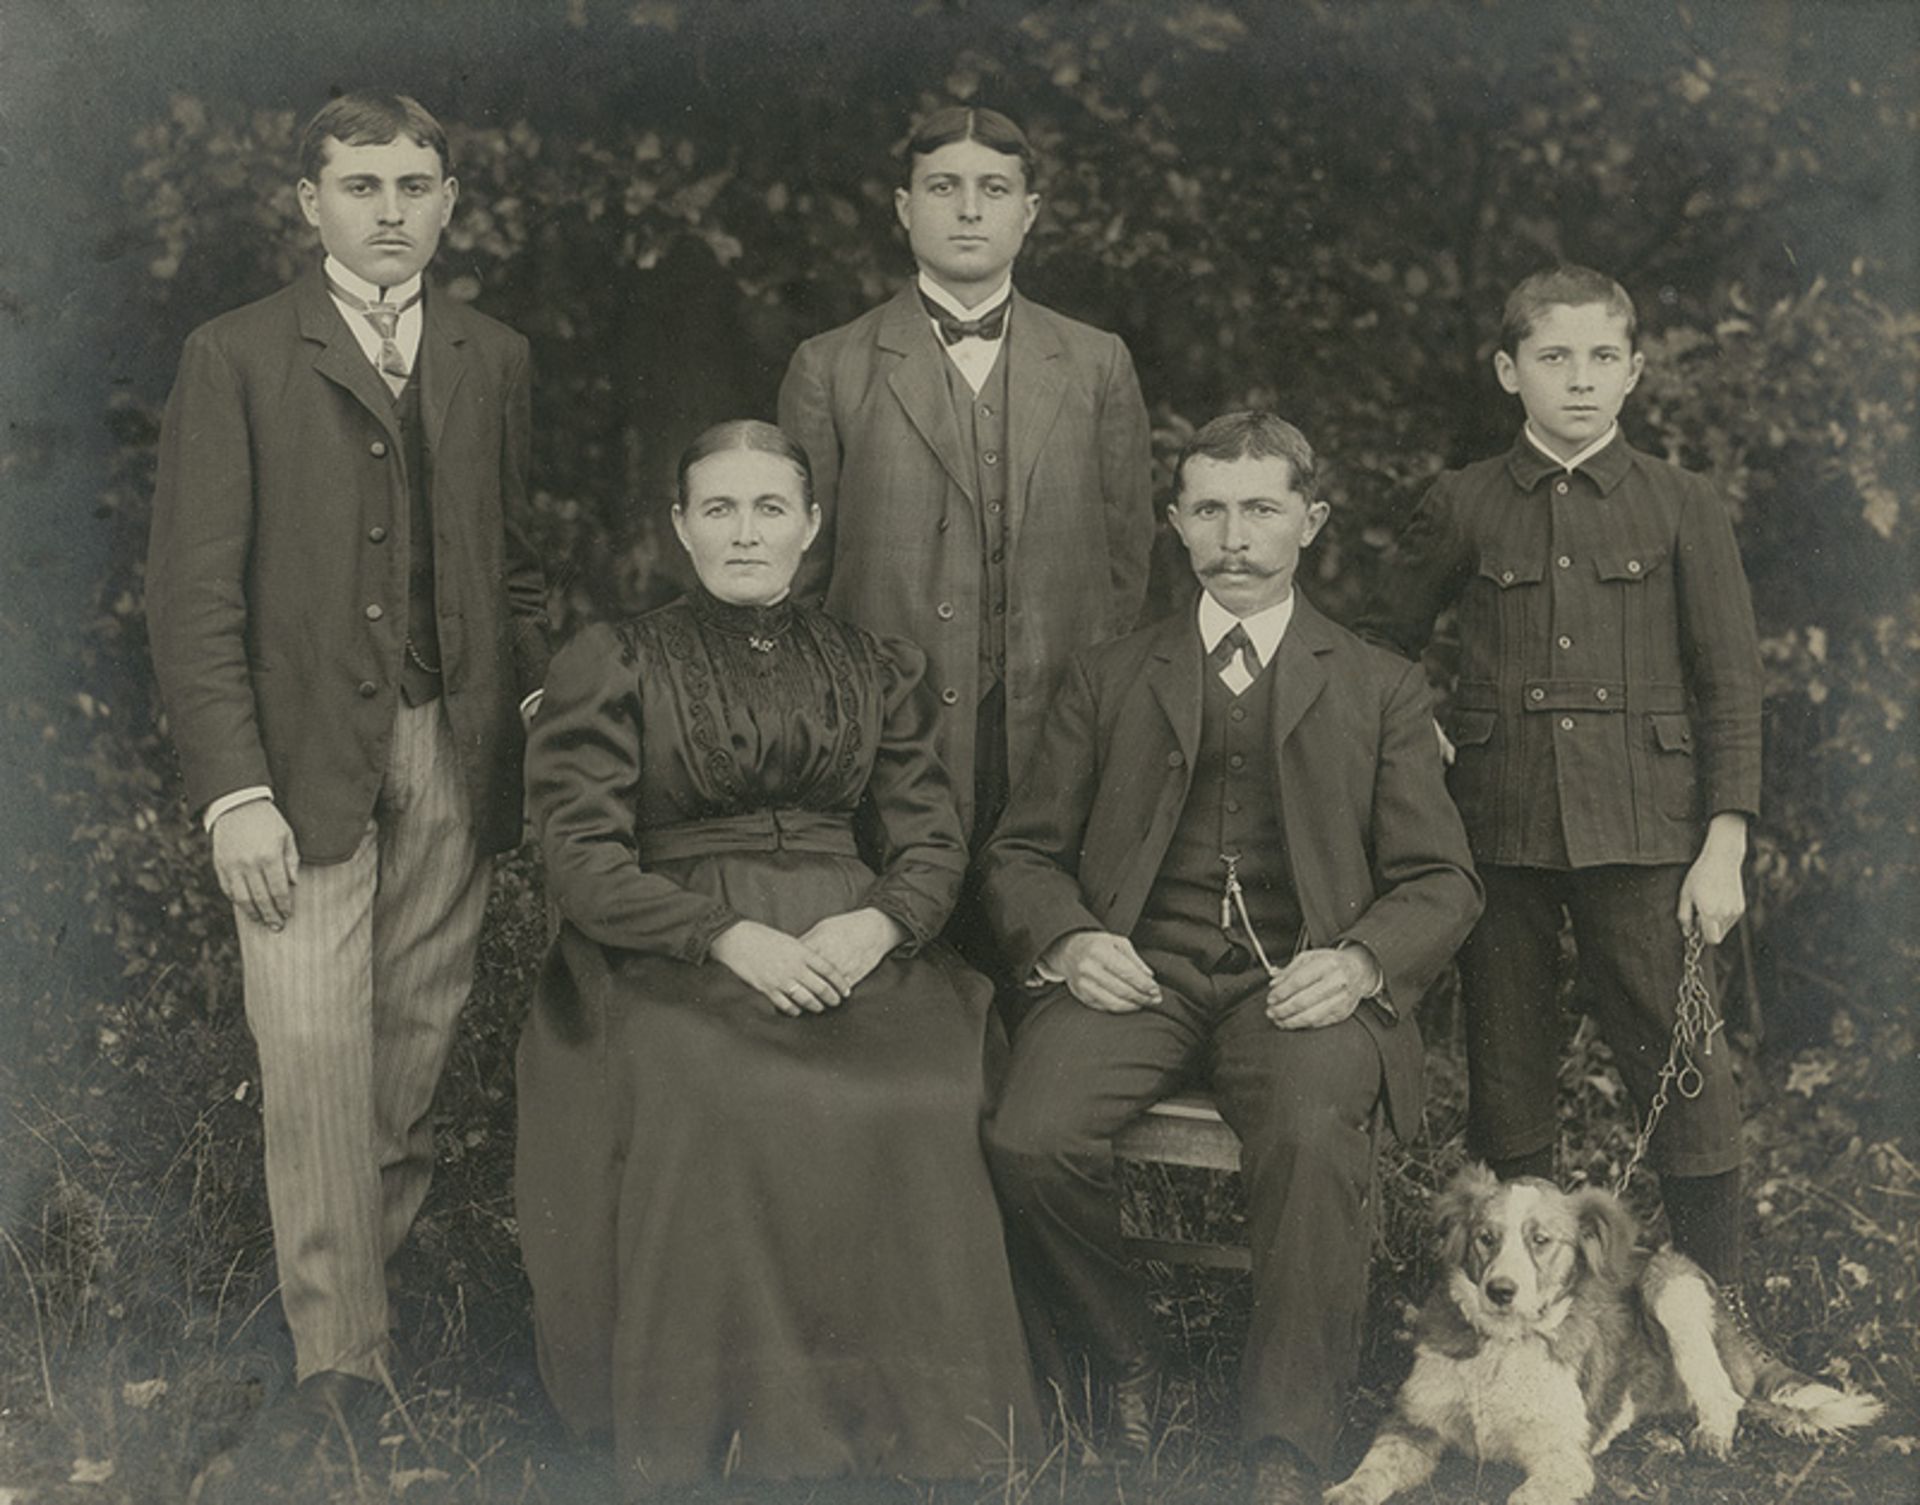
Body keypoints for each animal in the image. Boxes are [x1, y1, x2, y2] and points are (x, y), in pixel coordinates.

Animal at [1328, 1167, 1881, 1505]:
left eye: (1540, 1241)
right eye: (1486, 1238)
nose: (1500, 1291)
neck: (1504, 1345)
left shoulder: (1562, 1457)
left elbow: (1522, 1494)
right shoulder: (1411, 1424)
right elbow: (1372, 1469)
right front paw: (1344, 1489)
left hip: (1671, 1286)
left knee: (1726, 1394)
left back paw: (1711, 1434)